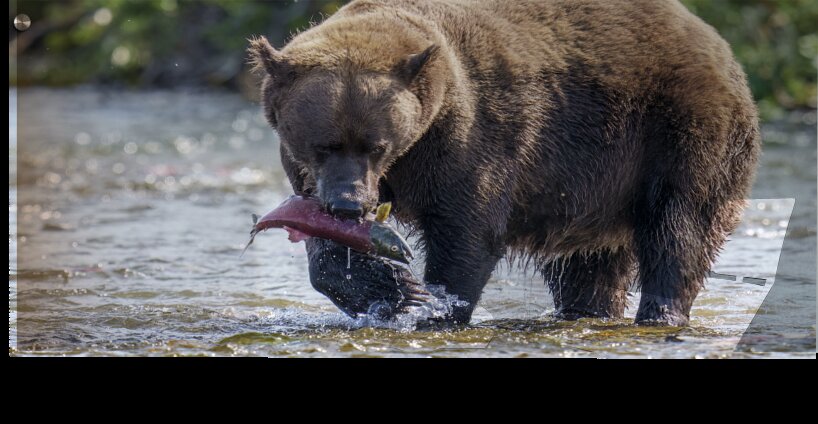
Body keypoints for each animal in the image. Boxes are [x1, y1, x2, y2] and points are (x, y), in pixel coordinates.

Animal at [248, 0, 760, 326]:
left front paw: (433, 304)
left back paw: (660, 313)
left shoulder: (473, 139)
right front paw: (393, 292)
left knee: (679, 229)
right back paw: (586, 310)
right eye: (323, 144)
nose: (349, 204)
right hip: (595, 185)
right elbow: (328, 245)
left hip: (677, 136)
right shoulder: (308, 175)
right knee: (588, 265)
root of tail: (719, 45)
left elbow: (468, 231)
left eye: (376, 145)